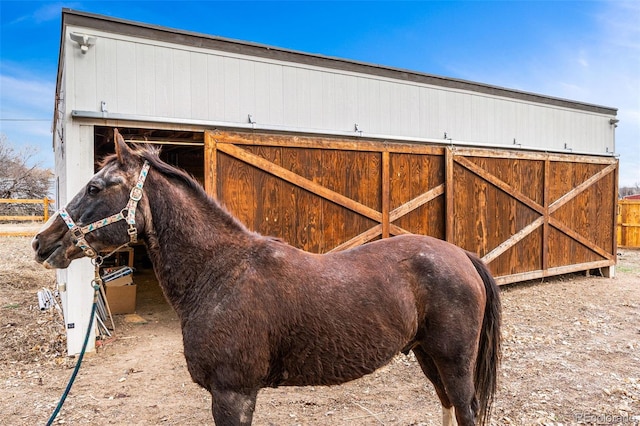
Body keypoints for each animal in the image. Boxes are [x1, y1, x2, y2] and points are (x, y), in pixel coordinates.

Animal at [32, 129, 500, 426]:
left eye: (95, 187)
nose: (42, 241)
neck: (218, 273)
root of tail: (462, 255)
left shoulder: (232, 394)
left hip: (454, 360)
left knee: (465, 410)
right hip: (427, 355)